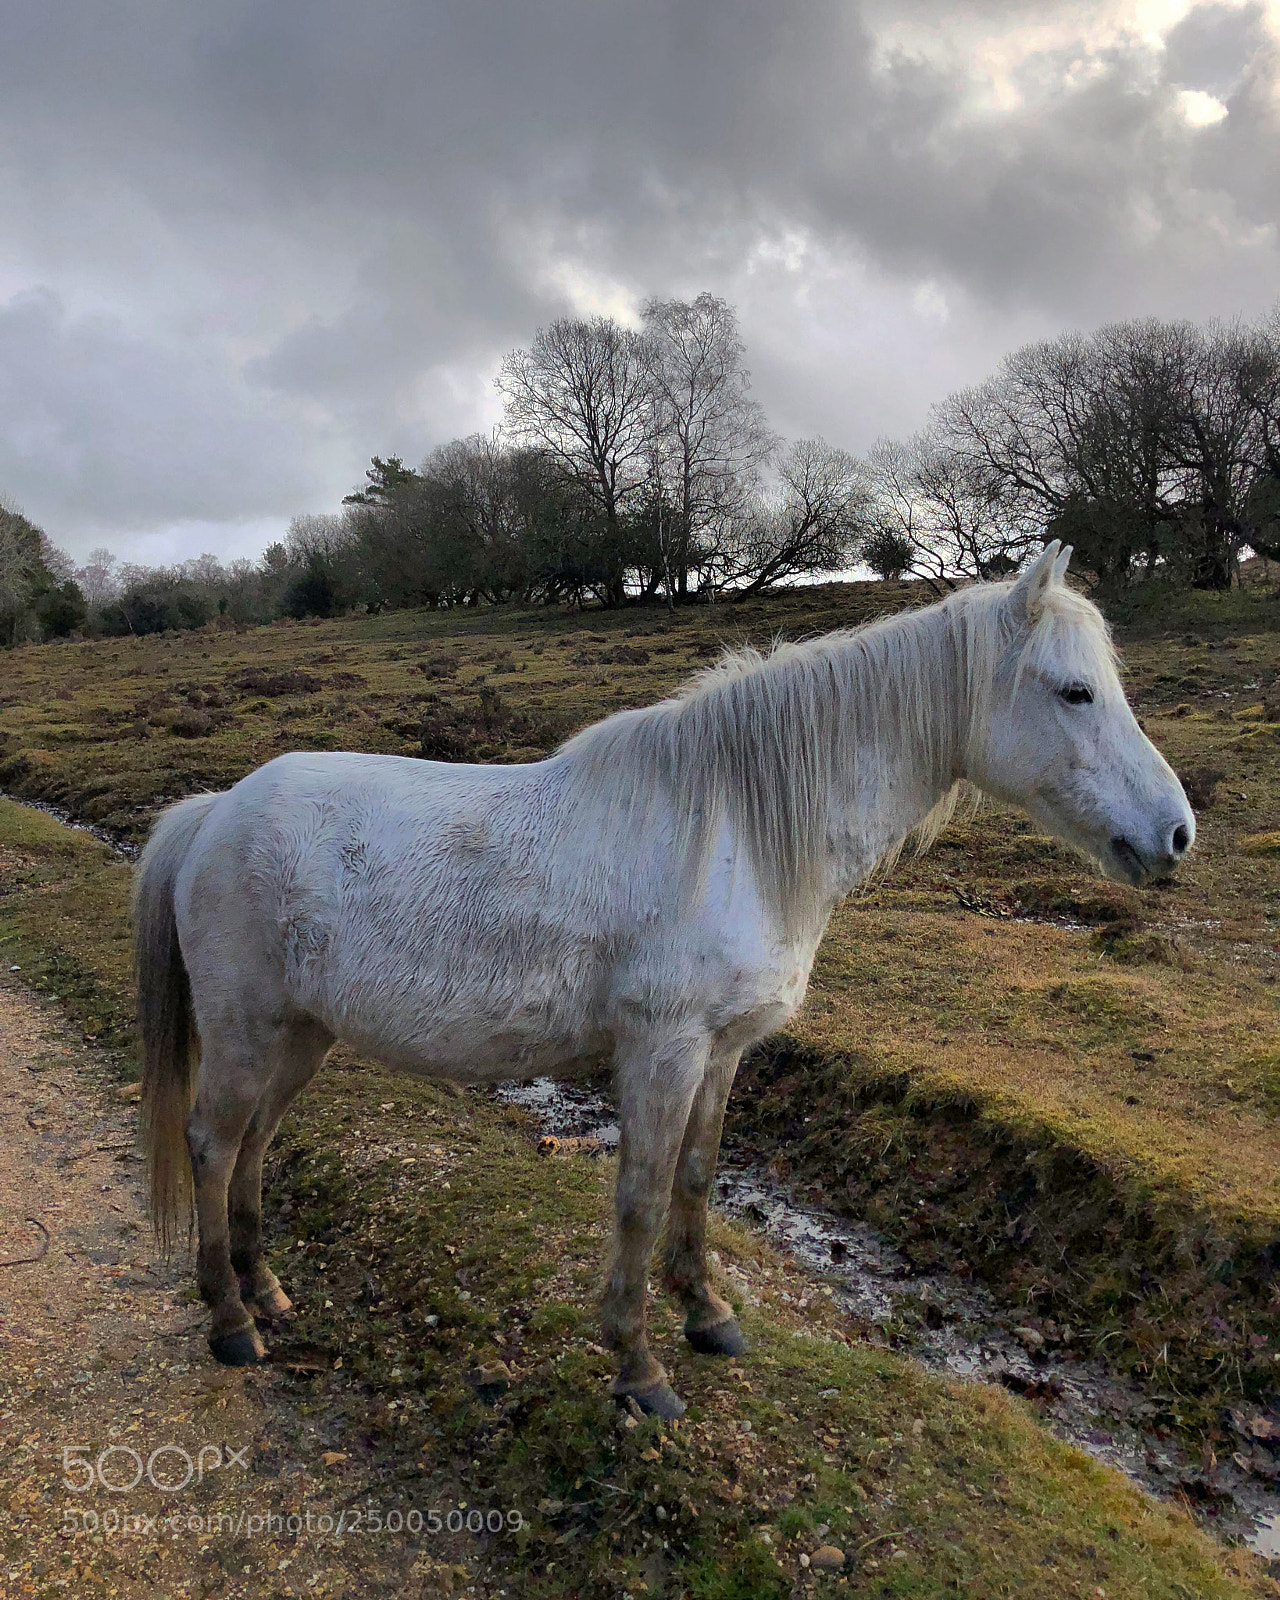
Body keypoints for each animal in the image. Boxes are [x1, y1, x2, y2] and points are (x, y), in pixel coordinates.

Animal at [134, 541, 1193, 1418]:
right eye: (1074, 693)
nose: (1175, 834)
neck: (735, 833)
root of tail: (214, 809)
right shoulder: (663, 1049)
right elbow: (639, 1193)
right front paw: (638, 1366)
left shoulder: (721, 1052)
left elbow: (695, 1175)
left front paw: (708, 1314)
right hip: (246, 1032)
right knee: (212, 1143)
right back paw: (231, 1322)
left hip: (301, 1035)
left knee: (255, 1145)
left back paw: (268, 1290)